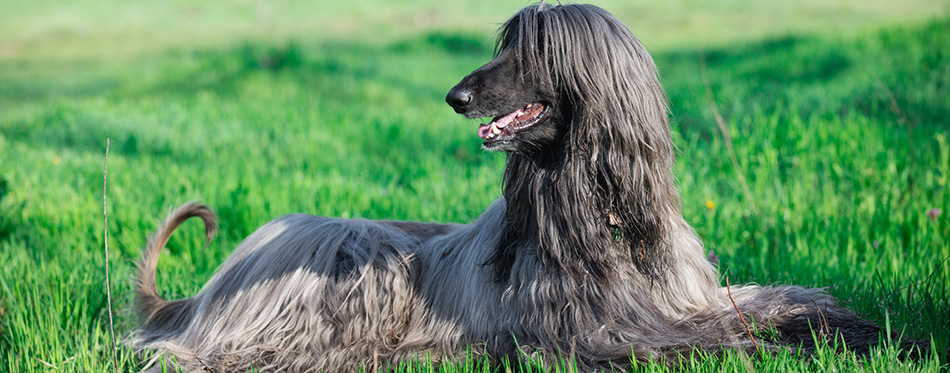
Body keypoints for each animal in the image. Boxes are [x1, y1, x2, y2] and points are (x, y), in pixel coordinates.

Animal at [132, 2, 892, 370]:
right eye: (502, 44)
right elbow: (709, 340)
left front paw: (855, 327)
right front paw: (784, 347)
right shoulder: (594, 334)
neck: (601, 213)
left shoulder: (689, 294)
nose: (455, 96)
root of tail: (205, 290)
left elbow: (775, 300)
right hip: (358, 248)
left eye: (530, 50)